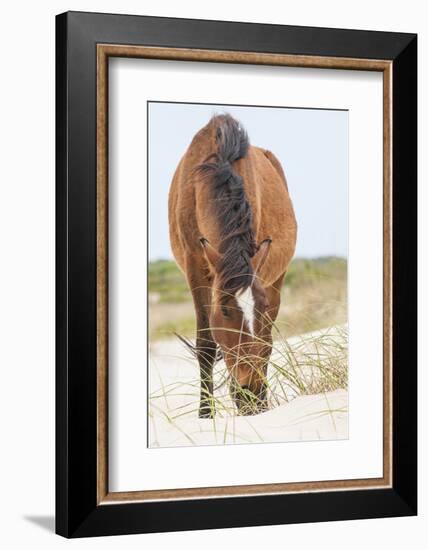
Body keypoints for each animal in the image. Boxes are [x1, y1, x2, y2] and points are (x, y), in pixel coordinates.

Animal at [169, 113, 296, 418]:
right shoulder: (195, 267)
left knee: (268, 342)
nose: (250, 391)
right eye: (225, 311)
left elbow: (262, 343)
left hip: (277, 279)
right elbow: (205, 344)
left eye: (260, 308)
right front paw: (205, 415)